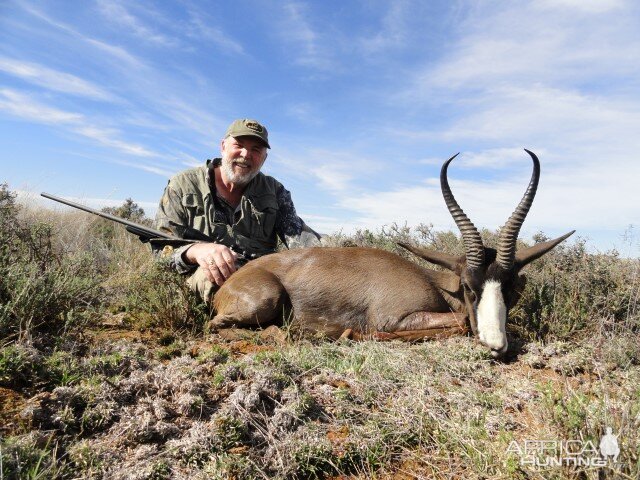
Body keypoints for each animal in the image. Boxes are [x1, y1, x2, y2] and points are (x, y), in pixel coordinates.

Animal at [211, 150, 576, 356]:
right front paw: (355, 333)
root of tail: (229, 285)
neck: (432, 281)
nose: (496, 345)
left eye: (511, 289)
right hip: (265, 300)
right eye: (469, 288)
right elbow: (460, 321)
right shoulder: (395, 318)